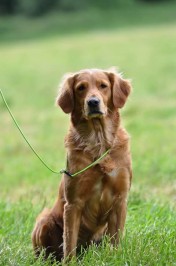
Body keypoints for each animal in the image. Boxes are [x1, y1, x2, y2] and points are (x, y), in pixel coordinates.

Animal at [31, 67, 132, 260]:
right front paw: (69, 262)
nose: (93, 102)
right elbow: (69, 243)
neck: (98, 142)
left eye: (103, 86)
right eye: (81, 88)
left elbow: (116, 240)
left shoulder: (120, 198)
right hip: (44, 219)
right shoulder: (73, 203)